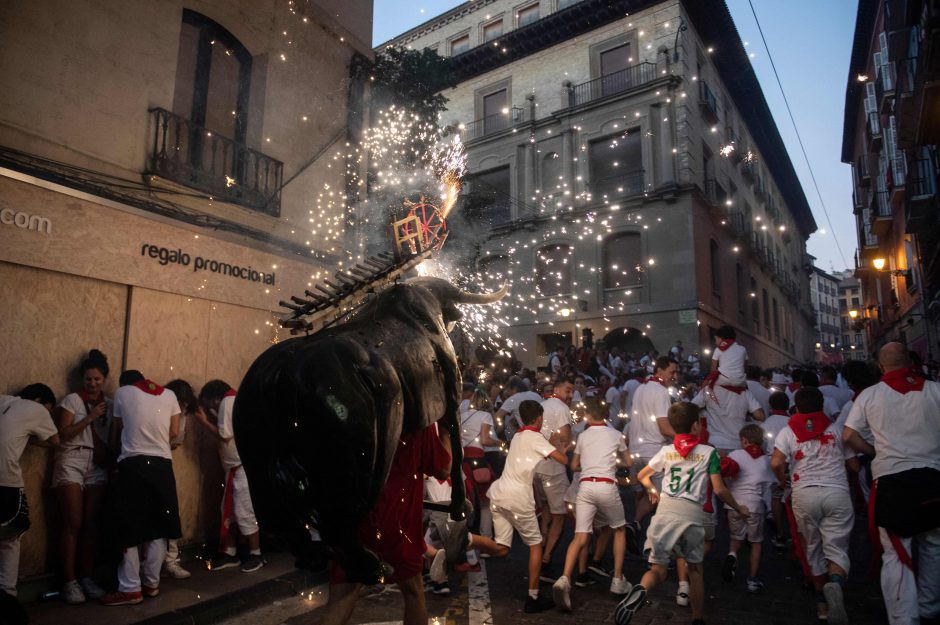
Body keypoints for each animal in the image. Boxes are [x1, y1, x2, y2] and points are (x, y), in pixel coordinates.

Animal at [230, 276, 506, 584]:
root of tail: (281, 375)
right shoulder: (452, 391)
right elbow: (456, 450)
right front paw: (459, 508)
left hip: (252, 436)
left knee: (275, 514)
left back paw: (313, 557)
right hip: (361, 446)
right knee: (337, 517)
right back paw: (373, 568)